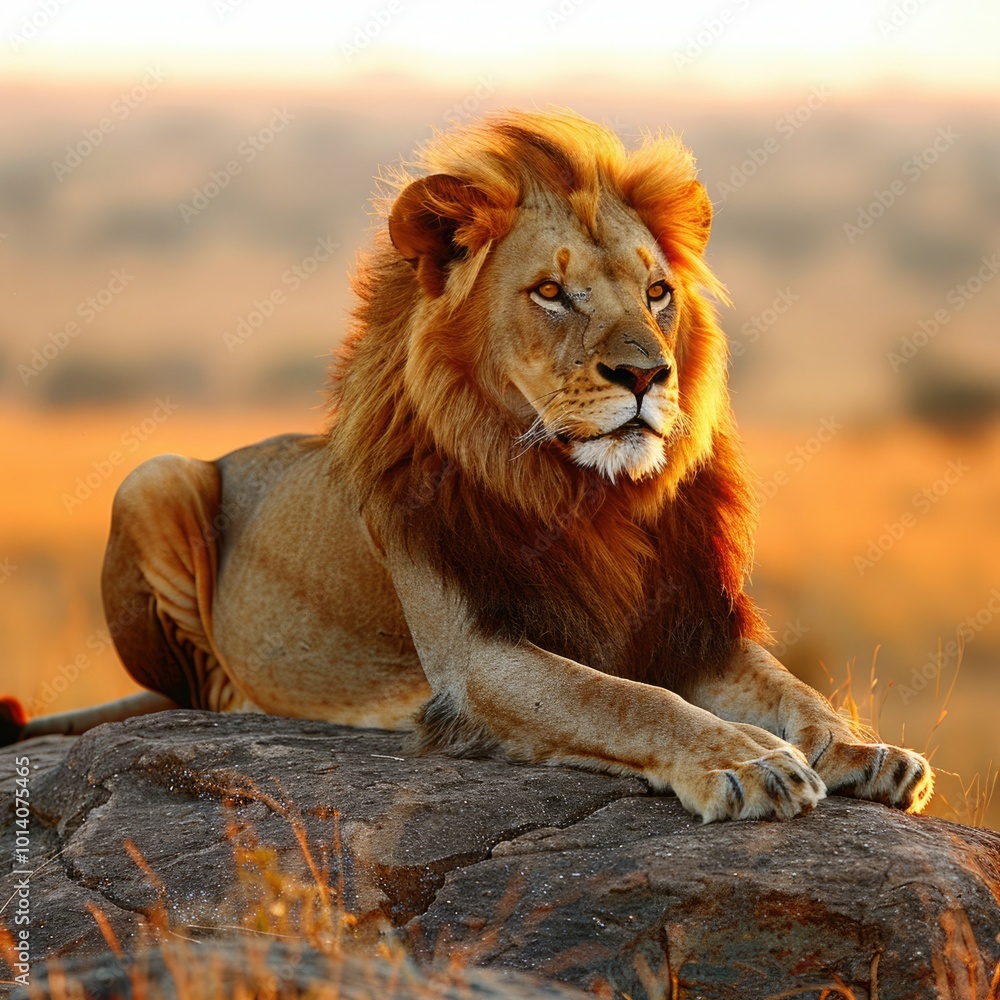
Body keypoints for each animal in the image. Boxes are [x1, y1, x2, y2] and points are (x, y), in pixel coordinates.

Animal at [2, 109, 933, 823]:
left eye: (657, 293)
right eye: (551, 293)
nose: (646, 375)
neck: (583, 497)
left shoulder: (684, 623)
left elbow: (791, 688)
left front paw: (862, 747)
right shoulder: (477, 657)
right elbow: (626, 698)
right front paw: (747, 761)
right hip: (153, 475)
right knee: (200, 689)